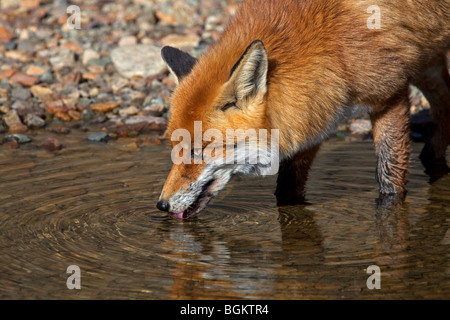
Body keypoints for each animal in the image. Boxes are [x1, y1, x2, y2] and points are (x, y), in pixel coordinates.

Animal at [156, 0, 450, 218]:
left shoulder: (390, 93)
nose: (161, 204)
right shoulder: (311, 113)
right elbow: (287, 188)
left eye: (198, 151)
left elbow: (390, 179)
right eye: (174, 146)